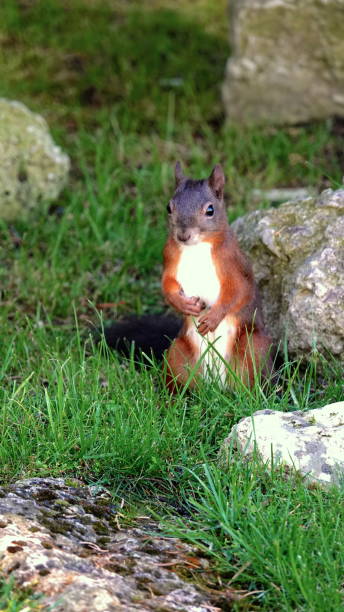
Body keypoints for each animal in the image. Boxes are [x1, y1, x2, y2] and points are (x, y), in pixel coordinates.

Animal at [161, 163, 272, 390]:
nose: (183, 235)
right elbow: (167, 285)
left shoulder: (233, 264)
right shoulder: (169, 259)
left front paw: (213, 318)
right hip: (177, 353)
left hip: (253, 347)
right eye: (169, 207)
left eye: (210, 210)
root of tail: (216, 385)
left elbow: (238, 292)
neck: (196, 247)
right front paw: (183, 304)